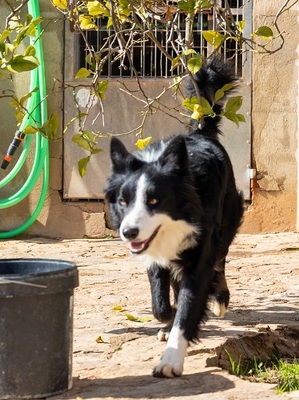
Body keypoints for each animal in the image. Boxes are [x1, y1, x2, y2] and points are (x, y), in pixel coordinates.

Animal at [104, 57, 245, 378]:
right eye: (123, 201)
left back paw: (220, 299)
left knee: (220, 260)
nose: (128, 233)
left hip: (229, 217)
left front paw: (170, 360)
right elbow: (161, 304)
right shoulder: (155, 250)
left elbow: (190, 301)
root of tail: (199, 133)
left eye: (155, 200)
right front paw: (167, 322)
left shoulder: (201, 244)